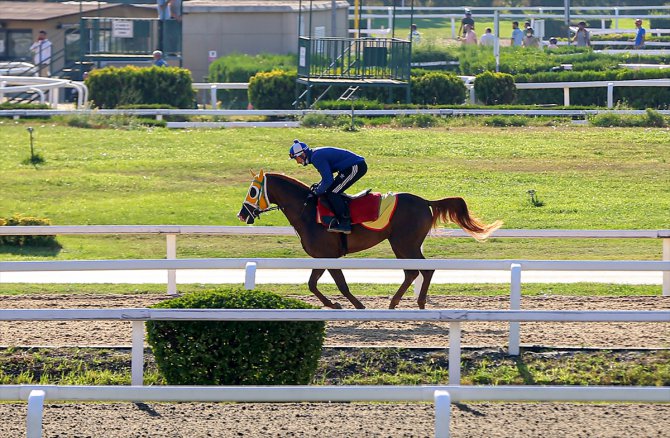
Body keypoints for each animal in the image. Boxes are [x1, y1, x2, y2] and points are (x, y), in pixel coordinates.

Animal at [238, 169, 504, 310]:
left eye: (252, 191)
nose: (242, 214)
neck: (307, 210)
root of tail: (425, 202)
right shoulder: (322, 256)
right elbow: (312, 284)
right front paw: (334, 305)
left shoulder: (329, 255)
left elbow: (340, 285)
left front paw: (356, 306)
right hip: (403, 245)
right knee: (413, 272)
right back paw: (397, 302)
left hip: (405, 243)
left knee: (422, 271)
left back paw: (415, 302)